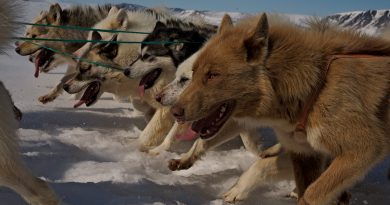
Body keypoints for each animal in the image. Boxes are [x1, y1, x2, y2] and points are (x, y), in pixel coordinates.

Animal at [173, 13, 390, 204]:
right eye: (194, 73)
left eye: (212, 75)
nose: (175, 112)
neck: (315, 87)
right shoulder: (306, 154)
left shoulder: (364, 148)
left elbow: (310, 194)